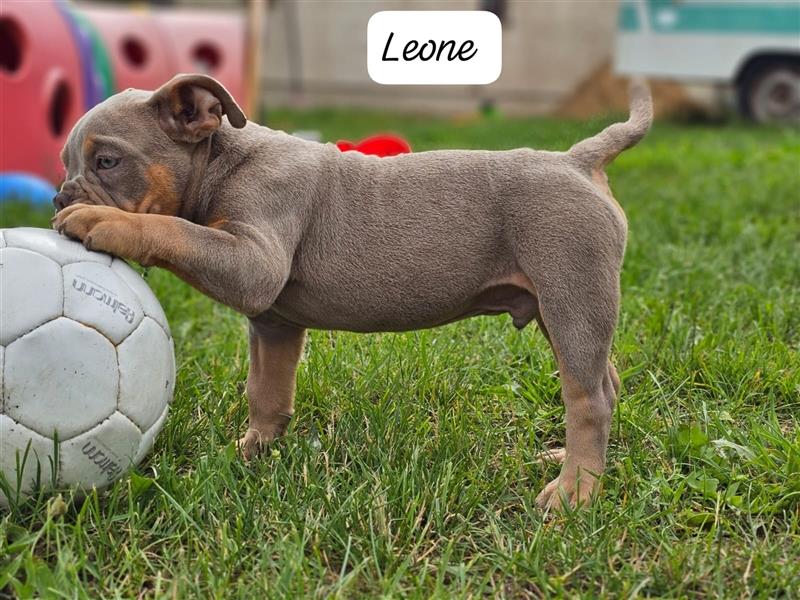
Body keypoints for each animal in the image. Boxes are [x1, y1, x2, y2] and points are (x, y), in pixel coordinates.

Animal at [53, 72, 652, 508]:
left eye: (107, 161)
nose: (59, 198)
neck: (220, 160)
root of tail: (577, 160)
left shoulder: (252, 264)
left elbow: (173, 228)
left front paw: (102, 220)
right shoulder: (274, 323)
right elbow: (266, 391)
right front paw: (250, 452)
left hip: (572, 297)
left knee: (589, 398)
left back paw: (576, 490)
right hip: (563, 306)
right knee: (606, 382)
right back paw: (575, 464)